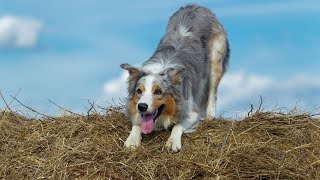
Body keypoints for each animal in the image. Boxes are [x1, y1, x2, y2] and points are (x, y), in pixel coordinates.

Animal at [121, 4, 229, 152]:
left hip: (215, 64)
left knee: (212, 95)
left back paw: (210, 117)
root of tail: (197, 6)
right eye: (139, 91)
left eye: (158, 92)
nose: (142, 106)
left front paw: (172, 142)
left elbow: (178, 125)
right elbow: (137, 123)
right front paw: (132, 140)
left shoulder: (191, 112)